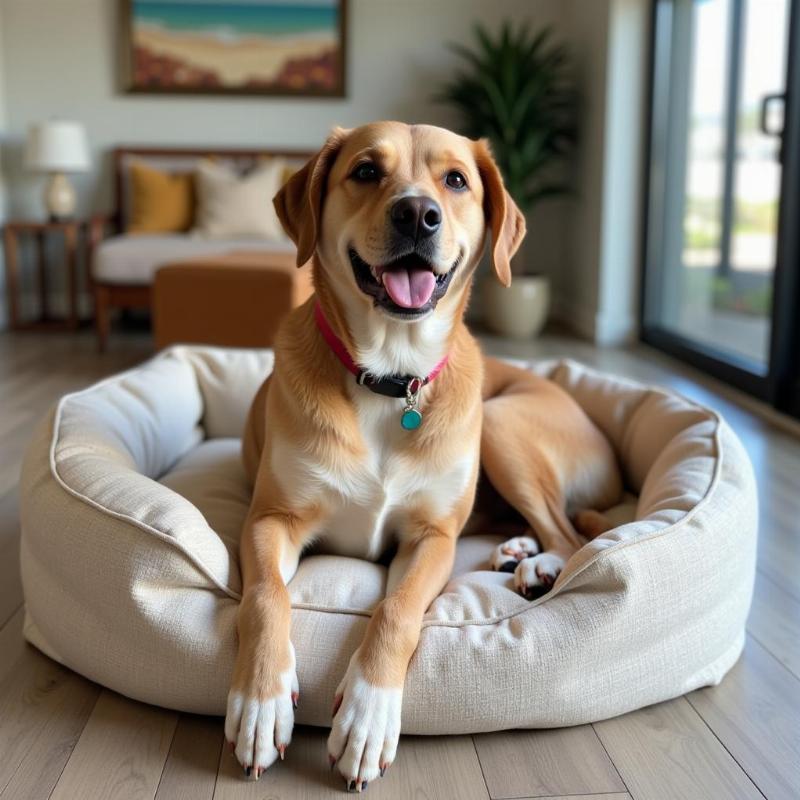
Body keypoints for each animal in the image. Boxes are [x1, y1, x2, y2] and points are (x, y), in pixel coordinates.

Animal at [225, 122, 624, 792]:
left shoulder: (433, 538)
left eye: (456, 179)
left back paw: (539, 563)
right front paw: (261, 700)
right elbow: (266, 597)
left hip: (503, 427)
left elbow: (395, 610)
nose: (418, 213)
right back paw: (520, 552)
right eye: (365, 171)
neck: (391, 375)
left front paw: (367, 715)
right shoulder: (270, 519)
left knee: (569, 533)